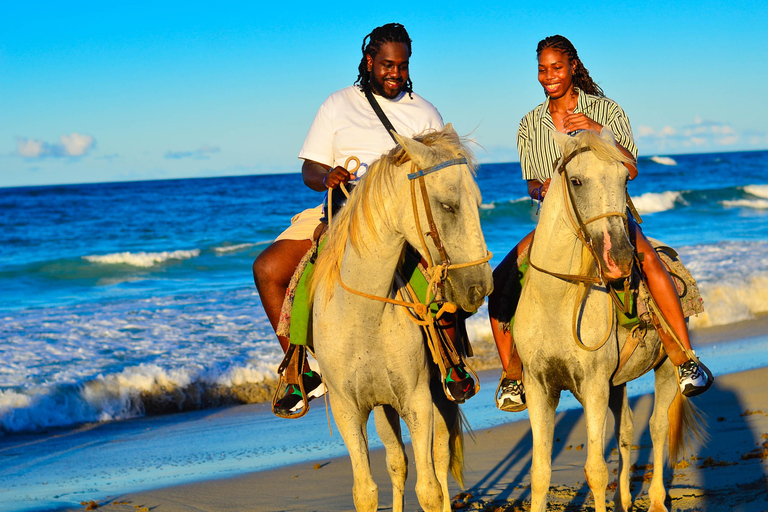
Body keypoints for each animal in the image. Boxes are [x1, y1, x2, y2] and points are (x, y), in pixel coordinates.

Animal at [308, 124, 496, 512]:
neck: (363, 317)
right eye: (447, 205)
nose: (480, 286)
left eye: (478, 202)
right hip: (382, 406)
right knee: (397, 462)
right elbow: (366, 490)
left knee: (439, 458)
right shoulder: (349, 410)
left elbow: (430, 487)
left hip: (440, 396)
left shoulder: (418, 401)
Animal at [512, 129, 704, 512]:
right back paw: (625, 499)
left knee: (657, 427)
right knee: (626, 431)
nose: (620, 257)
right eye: (576, 180)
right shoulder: (540, 387)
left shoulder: (594, 385)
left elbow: (596, 470)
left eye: (624, 178)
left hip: (664, 367)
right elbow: (540, 472)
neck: (557, 300)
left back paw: (657, 500)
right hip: (618, 383)